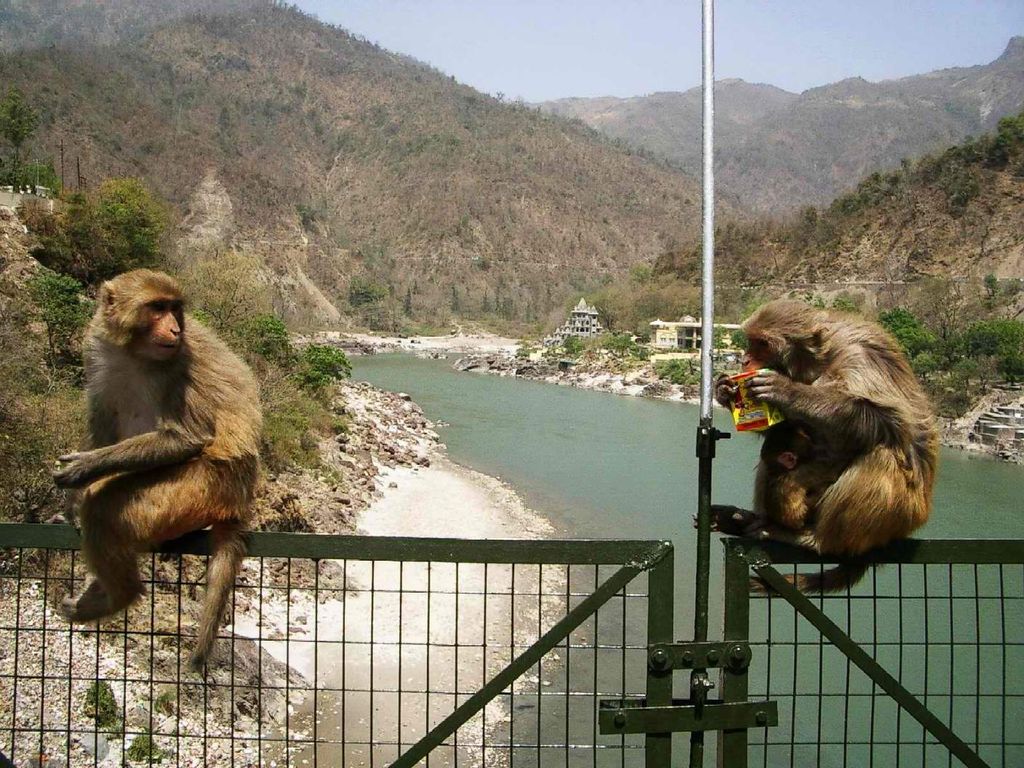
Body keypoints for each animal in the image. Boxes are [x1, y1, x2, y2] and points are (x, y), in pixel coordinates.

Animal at [53, 272, 262, 671]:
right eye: (157, 307)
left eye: (173, 308)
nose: (175, 329)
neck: (133, 353)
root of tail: (241, 496)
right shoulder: (95, 350)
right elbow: (104, 427)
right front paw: (74, 497)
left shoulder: (179, 365)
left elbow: (187, 437)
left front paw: (84, 468)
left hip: (201, 486)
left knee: (106, 509)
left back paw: (119, 596)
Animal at [712, 296, 937, 593]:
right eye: (751, 342)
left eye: (762, 344)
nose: (745, 359)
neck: (821, 360)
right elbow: (783, 431)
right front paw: (725, 391)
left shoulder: (859, 356)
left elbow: (884, 421)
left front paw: (789, 391)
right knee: (774, 461)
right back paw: (752, 520)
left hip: (899, 515)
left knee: (881, 453)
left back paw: (815, 541)